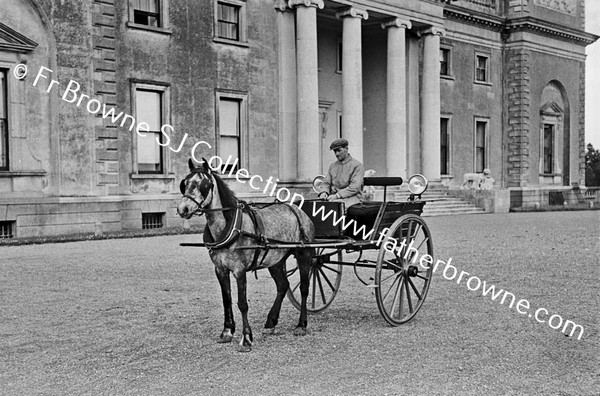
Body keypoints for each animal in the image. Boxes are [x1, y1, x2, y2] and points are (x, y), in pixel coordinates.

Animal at [177, 159, 316, 352]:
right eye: (185, 182)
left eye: (204, 184)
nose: (183, 208)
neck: (229, 227)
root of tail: (298, 210)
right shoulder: (220, 269)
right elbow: (226, 299)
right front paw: (227, 332)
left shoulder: (239, 270)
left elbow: (242, 303)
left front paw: (246, 338)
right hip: (275, 260)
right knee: (282, 286)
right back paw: (271, 322)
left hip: (304, 254)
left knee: (303, 288)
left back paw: (301, 324)